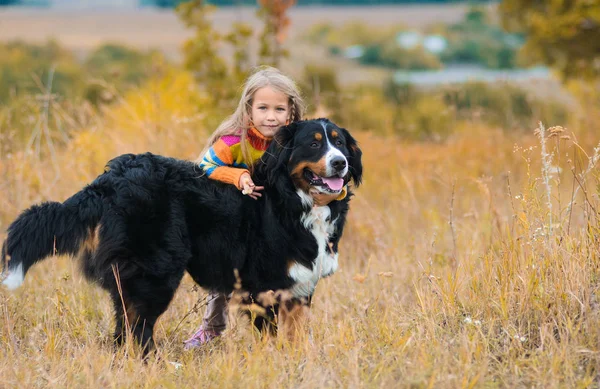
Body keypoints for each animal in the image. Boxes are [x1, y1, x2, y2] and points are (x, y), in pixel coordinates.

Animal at [1, 118, 360, 352]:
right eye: (313, 143)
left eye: (340, 143)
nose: (340, 163)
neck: (294, 200)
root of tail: (113, 176)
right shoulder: (266, 287)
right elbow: (271, 338)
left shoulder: (299, 288)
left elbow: (295, 335)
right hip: (155, 272)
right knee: (138, 327)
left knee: (124, 327)